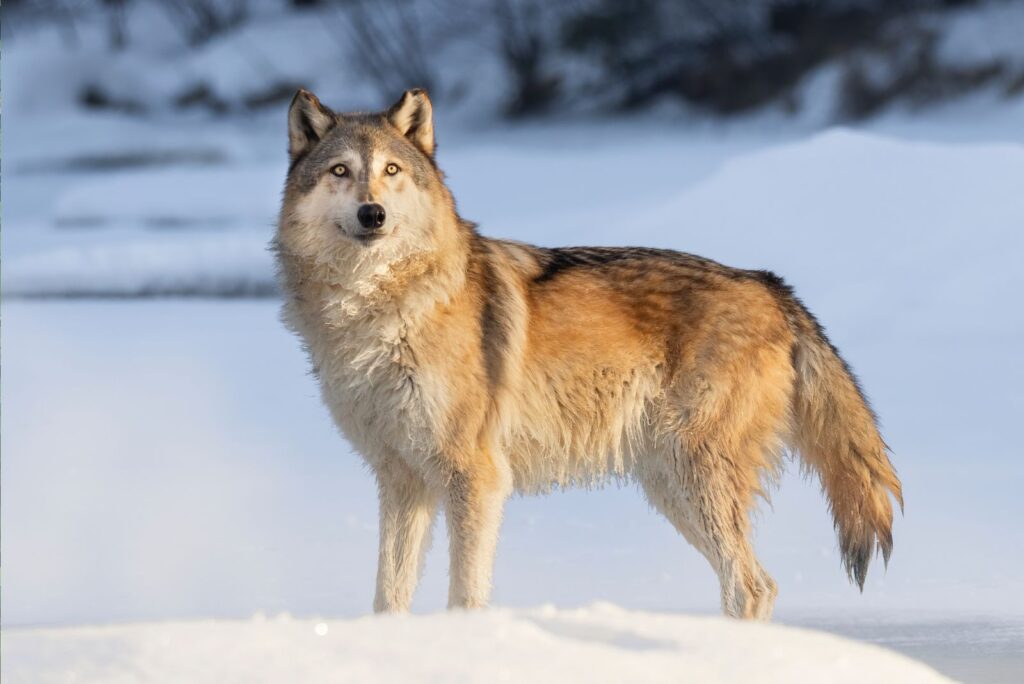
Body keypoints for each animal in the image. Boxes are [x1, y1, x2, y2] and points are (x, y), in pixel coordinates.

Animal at [274, 88, 905, 618]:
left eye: (392, 171)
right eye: (340, 171)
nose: (372, 214)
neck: (381, 308)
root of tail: (770, 284)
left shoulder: (476, 477)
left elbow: (465, 594)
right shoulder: (402, 480)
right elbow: (388, 596)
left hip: (690, 476)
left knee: (752, 586)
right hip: (669, 484)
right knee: (749, 584)